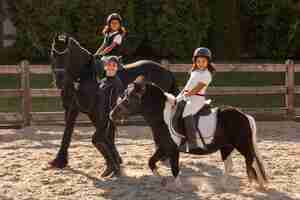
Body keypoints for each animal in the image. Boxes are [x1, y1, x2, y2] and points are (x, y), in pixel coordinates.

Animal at [48, 33, 177, 177]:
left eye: (67, 55)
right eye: (52, 54)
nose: (59, 81)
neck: (85, 77)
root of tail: (166, 71)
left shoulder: (95, 112)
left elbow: (103, 136)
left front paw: (114, 163)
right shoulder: (73, 108)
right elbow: (68, 132)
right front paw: (59, 161)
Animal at [109, 78, 268, 191]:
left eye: (129, 98)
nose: (111, 114)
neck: (163, 118)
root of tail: (244, 115)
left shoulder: (172, 149)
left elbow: (174, 168)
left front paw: (178, 187)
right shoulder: (163, 148)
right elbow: (151, 162)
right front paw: (162, 181)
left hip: (242, 144)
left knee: (251, 160)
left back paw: (257, 184)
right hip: (226, 146)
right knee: (231, 165)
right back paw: (225, 185)